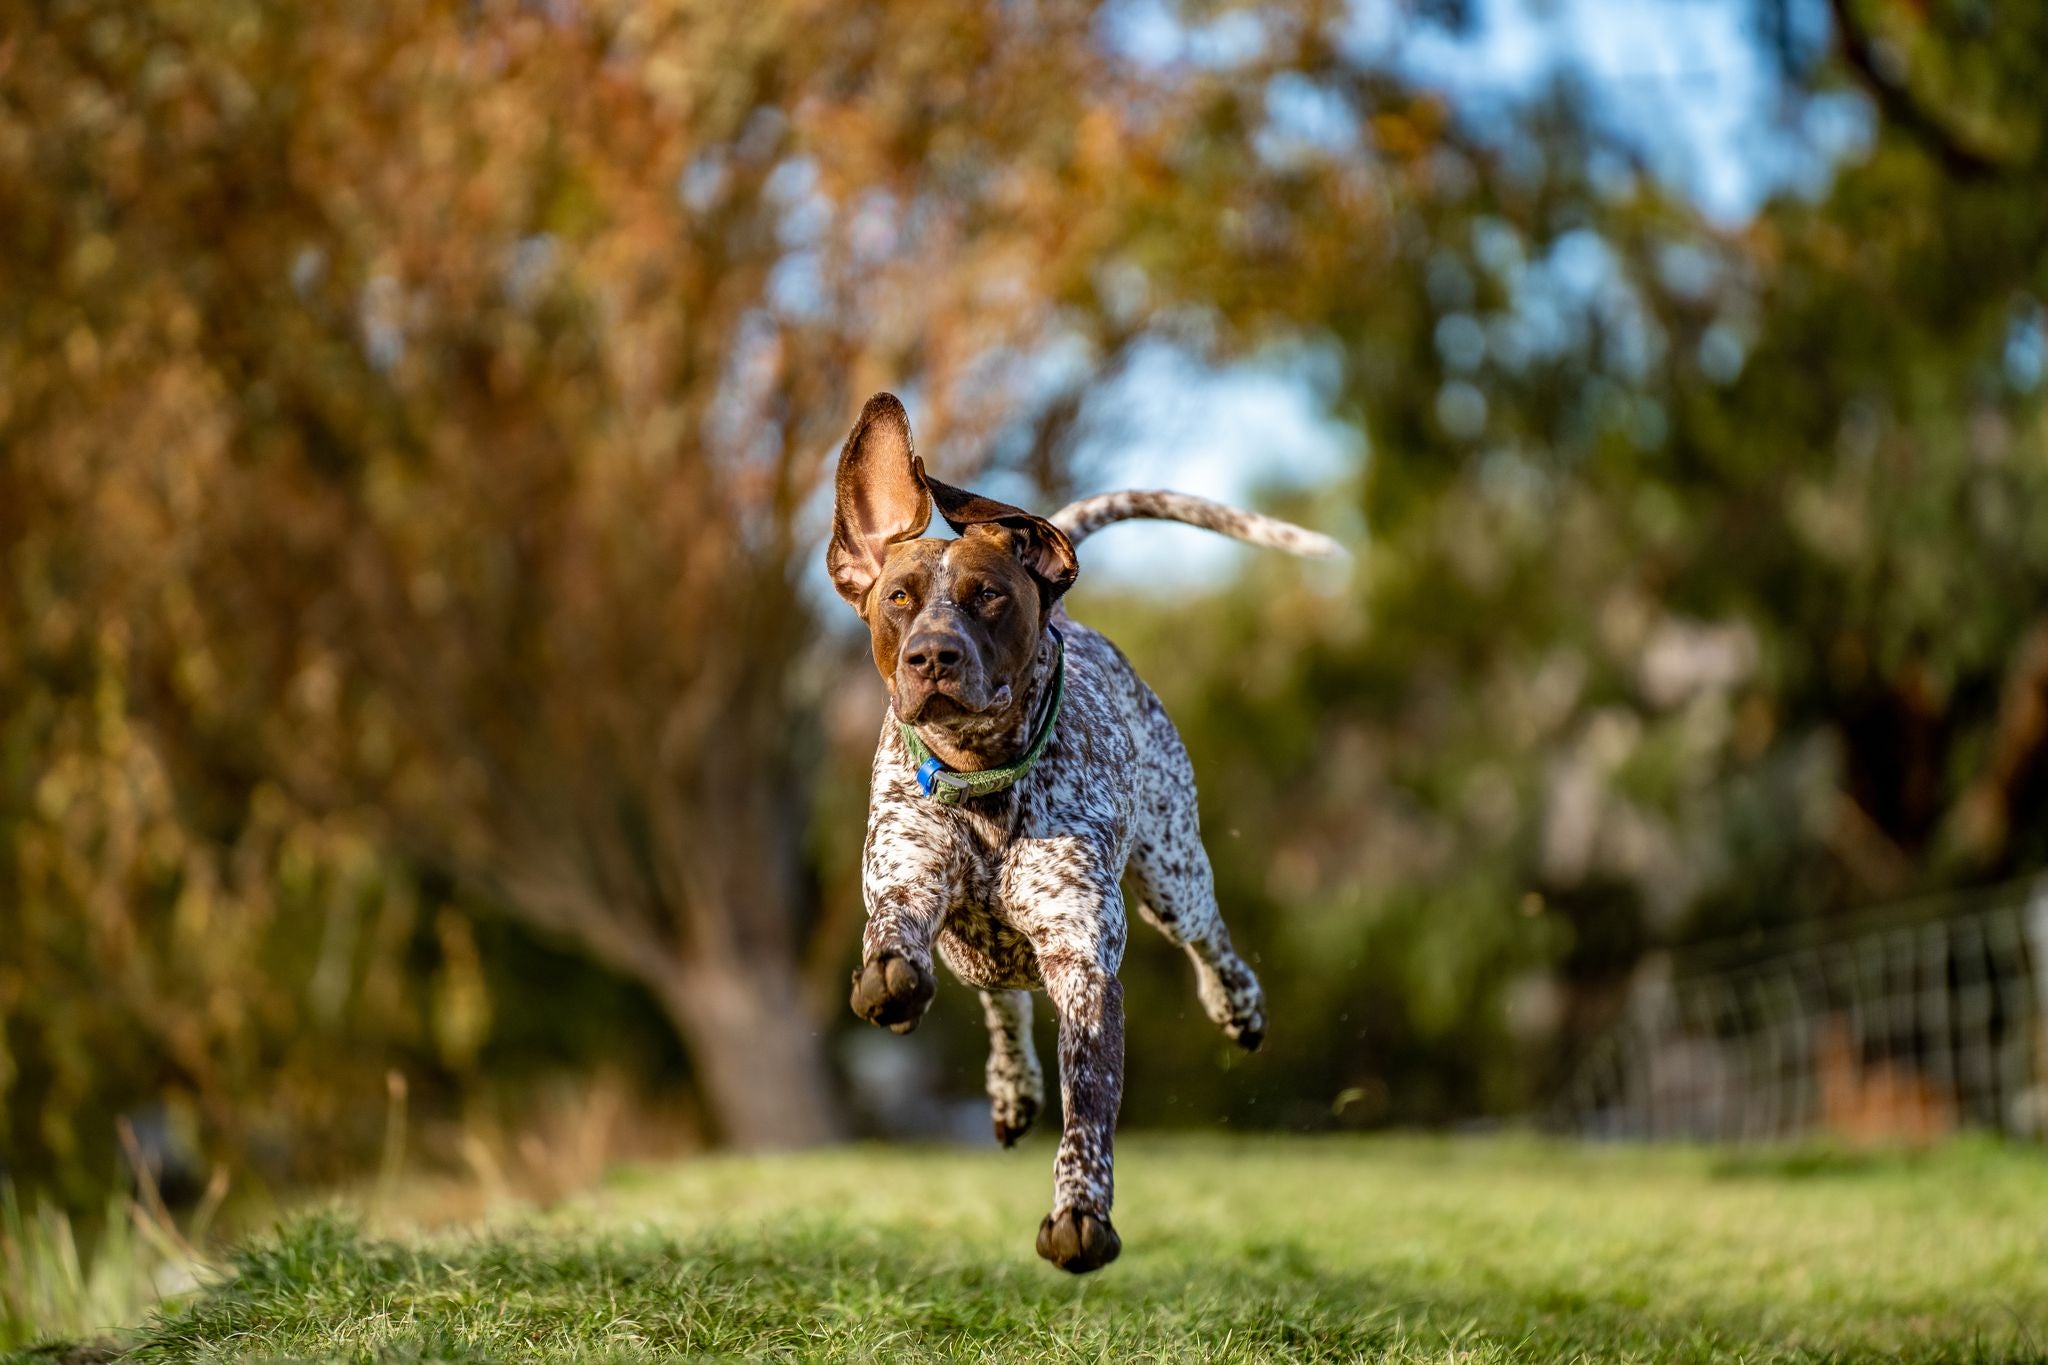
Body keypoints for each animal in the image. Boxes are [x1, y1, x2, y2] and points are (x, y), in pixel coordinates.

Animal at [831, 388, 1343, 1277]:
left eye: (988, 595)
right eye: (899, 598)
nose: (933, 656)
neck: (985, 788)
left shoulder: (1084, 967)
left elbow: (1089, 1117)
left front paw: (1080, 1212)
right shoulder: (906, 879)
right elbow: (892, 937)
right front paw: (892, 979)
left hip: (1173, 875)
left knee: (1211, 941)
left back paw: (1237, 1004)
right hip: (976, 947)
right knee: (998, 997)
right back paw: (1009, 1086)